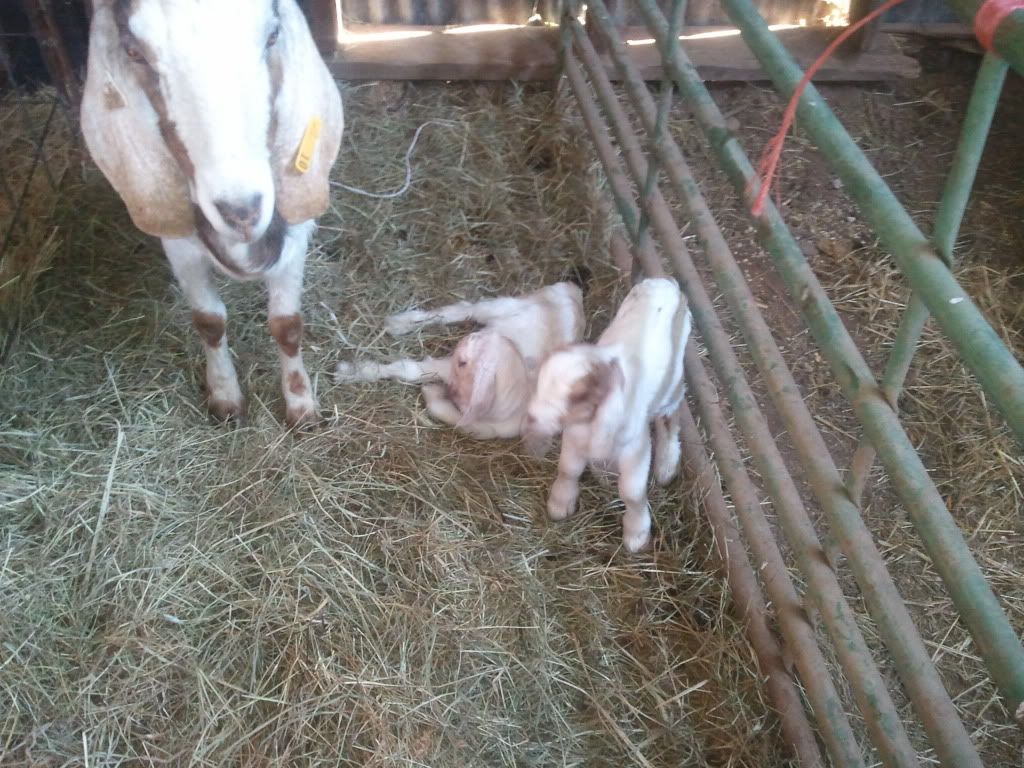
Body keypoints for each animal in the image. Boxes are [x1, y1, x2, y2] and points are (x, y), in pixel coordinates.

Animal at [80, 0, 343, 426]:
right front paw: (224, 396)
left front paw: (301, 405)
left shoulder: (295, 228)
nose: (242, 211)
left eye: (273, 34)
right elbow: (209, 320)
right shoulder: (178, 241)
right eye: (134, 52)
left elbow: (286, 324)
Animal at [335, 282, 586, 440]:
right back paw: (400, 323)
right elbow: (410, 369)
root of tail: (573, 292)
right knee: (465, 309)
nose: (469, 340)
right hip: (505, 306)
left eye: (465, 362)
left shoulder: (489, 426)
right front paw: (354, 372)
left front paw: (432, 392)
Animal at [524, 278, 692, 552]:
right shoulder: (574, 437)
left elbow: (632, 493)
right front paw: (561, 502)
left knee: (671, 416)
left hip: (673, 381)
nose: (532, 418)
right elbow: (568, 469)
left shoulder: (636, 449)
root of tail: (665, 283)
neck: (592, 423)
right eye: (540, 381)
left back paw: (667, 464)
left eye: (578, 396)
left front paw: (637, 534)